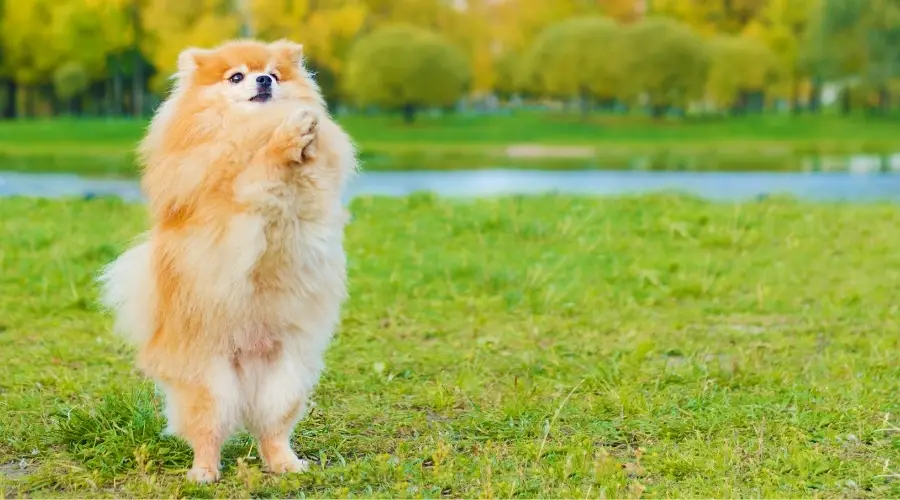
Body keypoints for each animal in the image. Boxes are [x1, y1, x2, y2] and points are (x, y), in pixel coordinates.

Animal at [95, 37, 356, 482]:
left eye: (274, 72)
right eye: (236, 76)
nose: (265, 80)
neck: (245, 128)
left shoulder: (312, 203)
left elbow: (310, 178)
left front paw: (306, 136)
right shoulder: (227, 205)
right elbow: (257, 172)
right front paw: (285, 141)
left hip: (285, 376)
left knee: (271, 428)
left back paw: (286, 463)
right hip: (209, 381)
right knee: (209, 431)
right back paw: (204, 471)